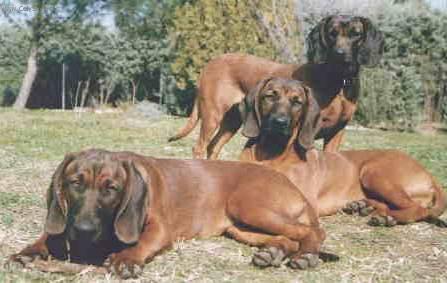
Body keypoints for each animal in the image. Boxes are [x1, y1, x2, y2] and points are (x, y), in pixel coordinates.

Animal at [10, 149, 326, 280]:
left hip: (248, 205)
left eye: (111, 188)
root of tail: (292, 184)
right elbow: (50, 233)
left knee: (313, 231)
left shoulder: (160, 228)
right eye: (75, 183)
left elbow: (142, 242)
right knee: (286, 238)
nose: (84, 231)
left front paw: (126, 260)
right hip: (239, 227)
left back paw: (306, 256)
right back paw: (273, 253)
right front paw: (29, 251)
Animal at [169, 15, 384, 160]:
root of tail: (210, 64)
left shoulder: (336, 132)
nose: (340, 54)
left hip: (234, 119)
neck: (338, 81)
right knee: (199, 147)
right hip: (213, 115)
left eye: (356, 34)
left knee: (213, 147)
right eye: (332, 33)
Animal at [240, 78, 447, 229]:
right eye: (270, 96)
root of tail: (429, 174)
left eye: (297, 102)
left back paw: (387, 218)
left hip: (374, 171)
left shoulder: (304, 201)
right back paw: (363, 206)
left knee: (417, 209)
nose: (279, 122)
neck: (272, 151)